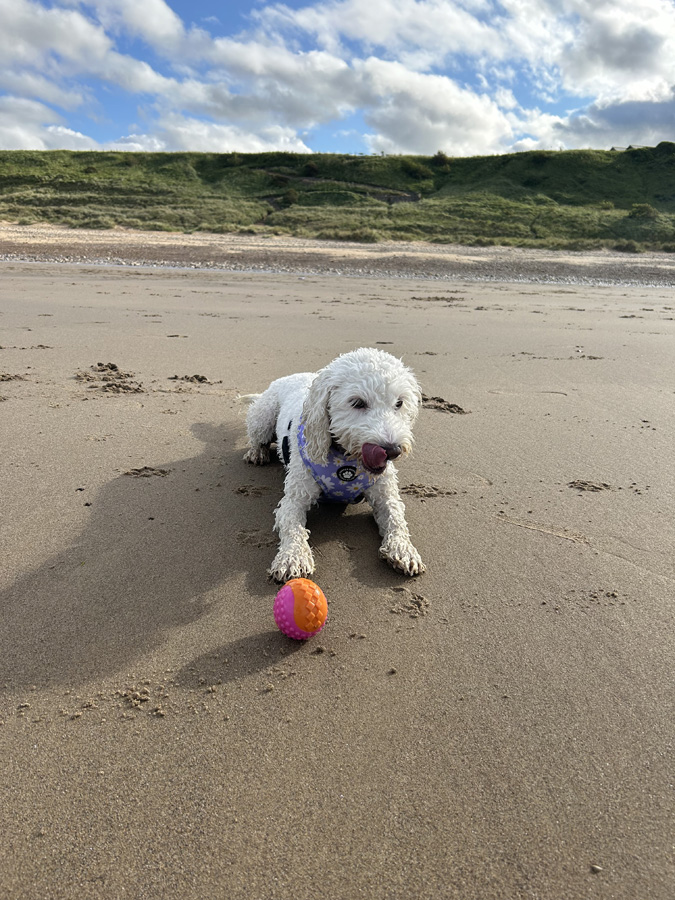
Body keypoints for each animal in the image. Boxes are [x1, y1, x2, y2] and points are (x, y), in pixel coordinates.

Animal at [242, 344, 422, 584]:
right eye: (357, 402)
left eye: (399, 403)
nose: (393, 450)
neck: (347, 461)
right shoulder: (293, 500)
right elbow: (292, 526)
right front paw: (292, 556)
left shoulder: (385, 496)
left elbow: (396, 517)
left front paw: (403, 548)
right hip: (264, 416)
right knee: (257, 437)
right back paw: (257, 452)